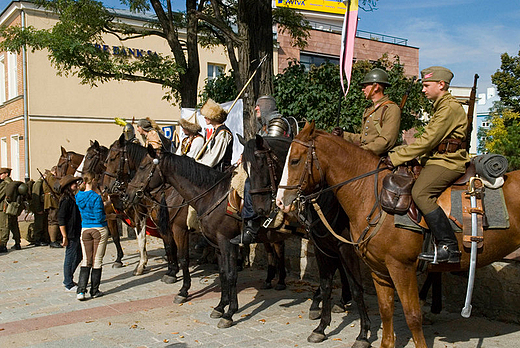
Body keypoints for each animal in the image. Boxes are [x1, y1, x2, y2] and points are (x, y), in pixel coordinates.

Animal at [82, 140, 125, 268]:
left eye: (89, 156)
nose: (82, 177)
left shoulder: (111, 216)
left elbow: (115, 236)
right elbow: (114, 237)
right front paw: (118, 259)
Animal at [102, 135, 191, 300]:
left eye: (112, 158)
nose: (105, 188)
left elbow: (146, 239)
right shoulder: (156, 222)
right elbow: (166, 245)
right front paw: (171, 271)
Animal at [244, 134, 370, 346]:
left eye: (261, 163)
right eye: (245, 168)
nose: (260, 208)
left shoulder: (344, 246)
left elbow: (355, 285)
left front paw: (363, 332)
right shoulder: (322, 244)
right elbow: (328, 281)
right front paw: (322, 318)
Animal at [278, 121, 520, 346]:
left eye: (295, 160)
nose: (280, 201)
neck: (369, 194)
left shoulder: (399, 267)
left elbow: (409, 314)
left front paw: (362, 333)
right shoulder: (373, 267)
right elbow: (383, 309)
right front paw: (323, 327)